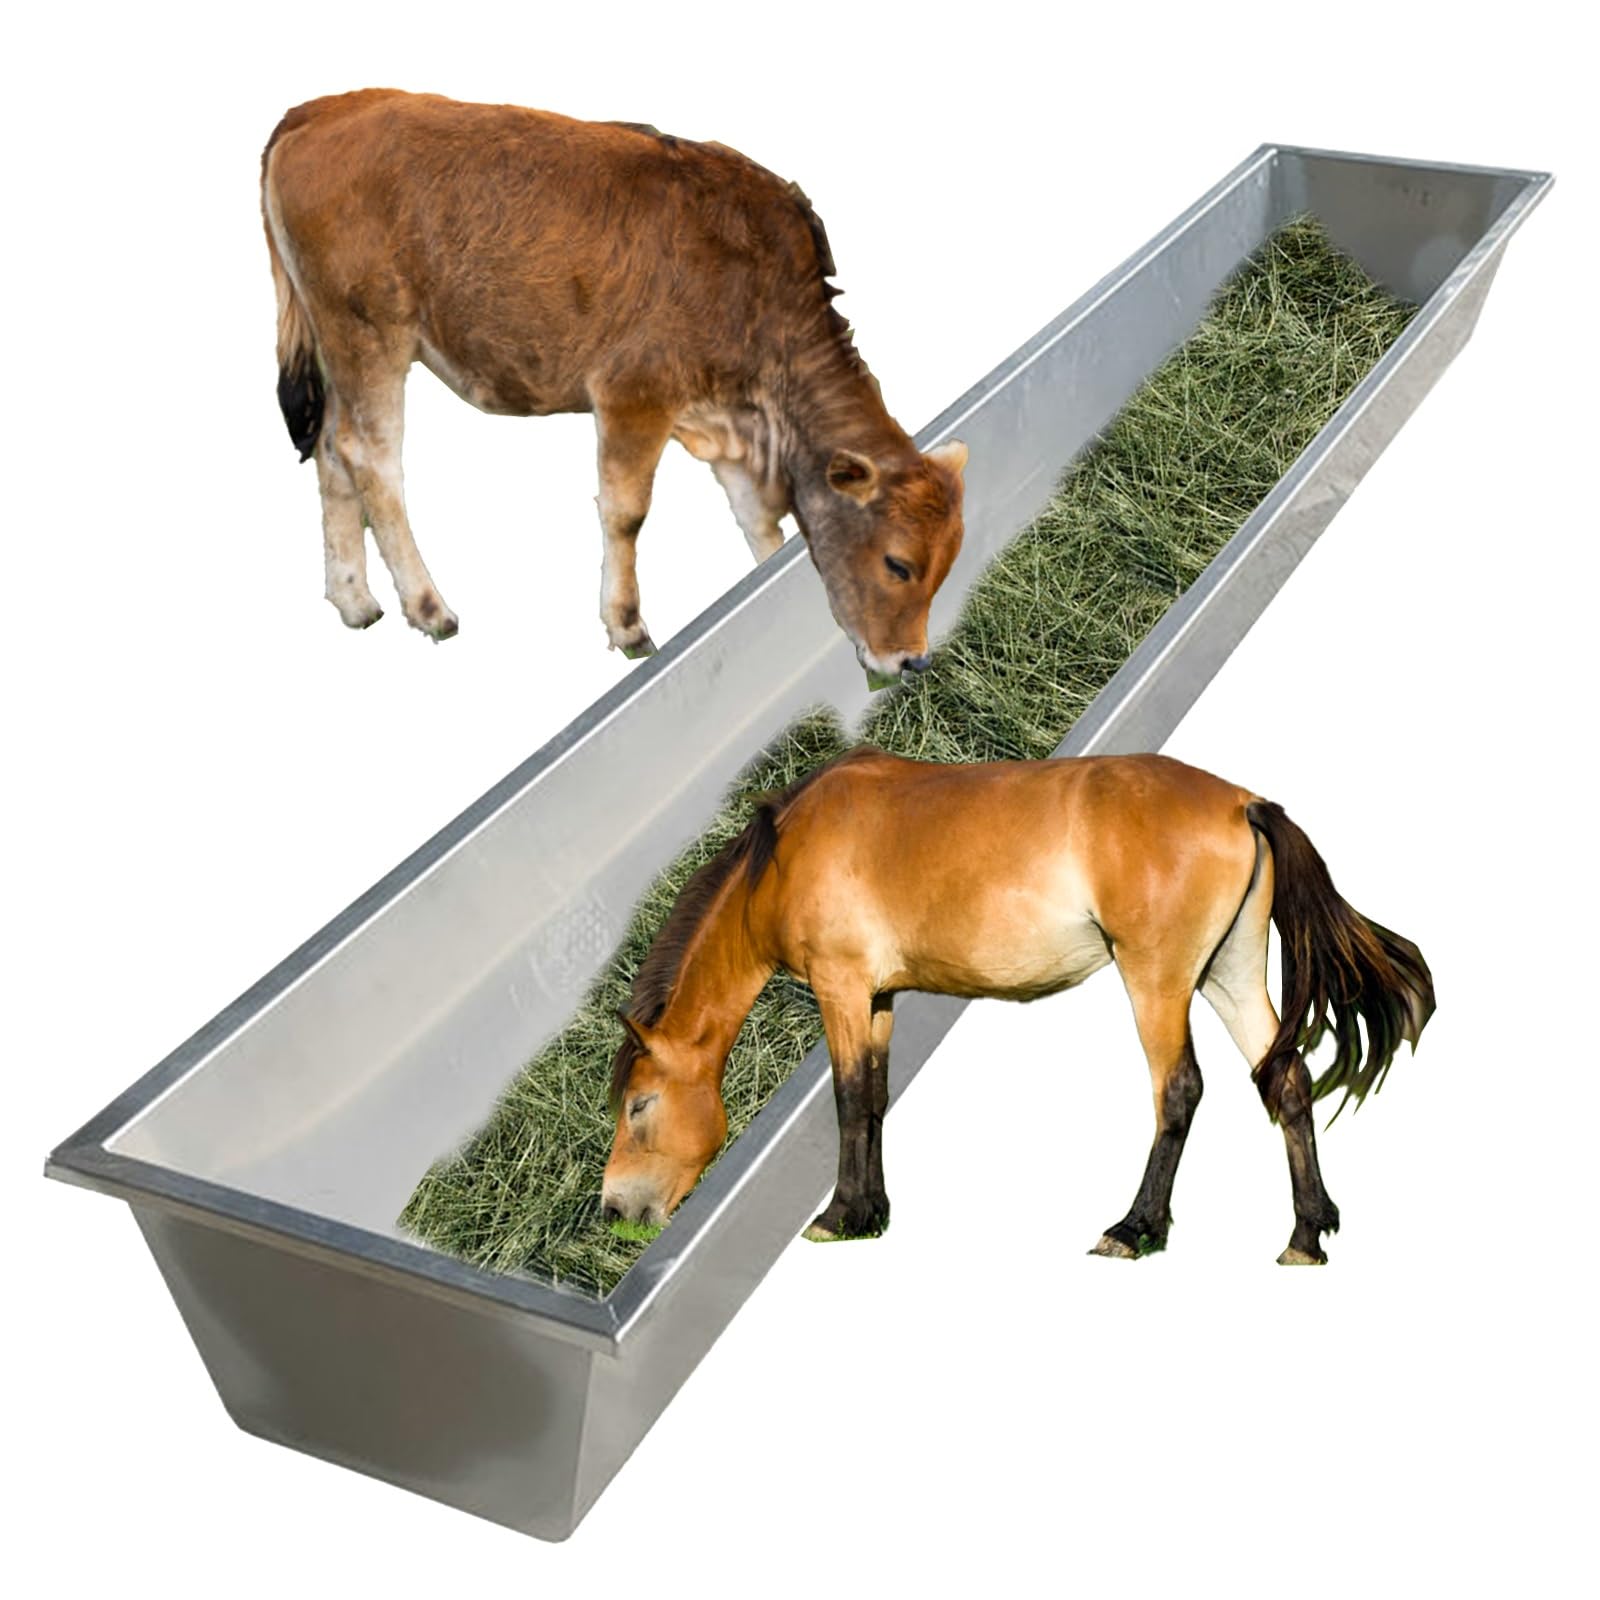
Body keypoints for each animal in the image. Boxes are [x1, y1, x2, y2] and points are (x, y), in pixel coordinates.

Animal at [261, 90, 969, 674]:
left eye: (945, 565)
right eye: (898, 562)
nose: (913, 661)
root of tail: (320, 109)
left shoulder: (728, 428)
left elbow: (758, 525)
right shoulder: (636, 395)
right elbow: (627, 513)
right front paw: (628, 627)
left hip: (336, 349)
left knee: (329, 451)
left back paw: (355, 600)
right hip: (373, 338)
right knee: (370, 457)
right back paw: (430, 608)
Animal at [601, 746, 1435, 1264]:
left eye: (639, 1105)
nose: (612, 1209)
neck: (782, 855)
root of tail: (1243, 804)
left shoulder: (841, 989)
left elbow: (845, 1100)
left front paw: (837, 1218)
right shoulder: (878, 998)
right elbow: (874, 1098)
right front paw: (873, 1215)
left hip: (1158, 981)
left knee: (1180, 1090)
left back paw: (1134, 1228)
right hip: (1228, 973)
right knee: (1286, 1081)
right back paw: (1305, 1235)